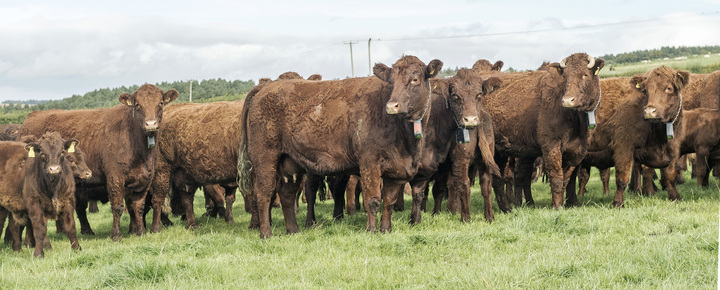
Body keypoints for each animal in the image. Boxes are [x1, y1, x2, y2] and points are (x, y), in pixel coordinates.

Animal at [20, 84, 179, 242]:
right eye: (138, 105)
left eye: (160, 103)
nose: (151, 124)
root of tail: (32, 116)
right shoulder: (115, 177)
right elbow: (118, 206)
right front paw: (116, 235)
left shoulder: (145, 179)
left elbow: (138, 206)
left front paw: (140, 232)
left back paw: (84, 230)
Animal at [240, 55, 444, 238]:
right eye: (391, 82)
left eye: (415, 79)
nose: (392, 106)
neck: (406, 139)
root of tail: (266, 87)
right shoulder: (369, 163)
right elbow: (373, 200)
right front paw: (372, 230)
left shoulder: (396, 170)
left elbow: (389, 202)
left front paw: (386, 229)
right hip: (264, 158)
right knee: (264, 193)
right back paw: (266, 233)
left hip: (290, 162)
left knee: (287, 194)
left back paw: (293, 230)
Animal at [480, 52, 604, 208]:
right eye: (565, 76)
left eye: (585, 74)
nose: (567, 100)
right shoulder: (551, 146)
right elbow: (556, 178)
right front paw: (556, 206)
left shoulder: (576, 152)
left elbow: (566, 179)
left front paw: (565, 203)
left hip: (501, 153)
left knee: (502, 179)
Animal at [572, 65, 688, 206]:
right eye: (646, 91)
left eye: (669, 88)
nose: (650, 111)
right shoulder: (623, 147)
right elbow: (622, 178)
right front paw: (617, 202)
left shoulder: (673, 149)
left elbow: (670, 175)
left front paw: (675, 197)